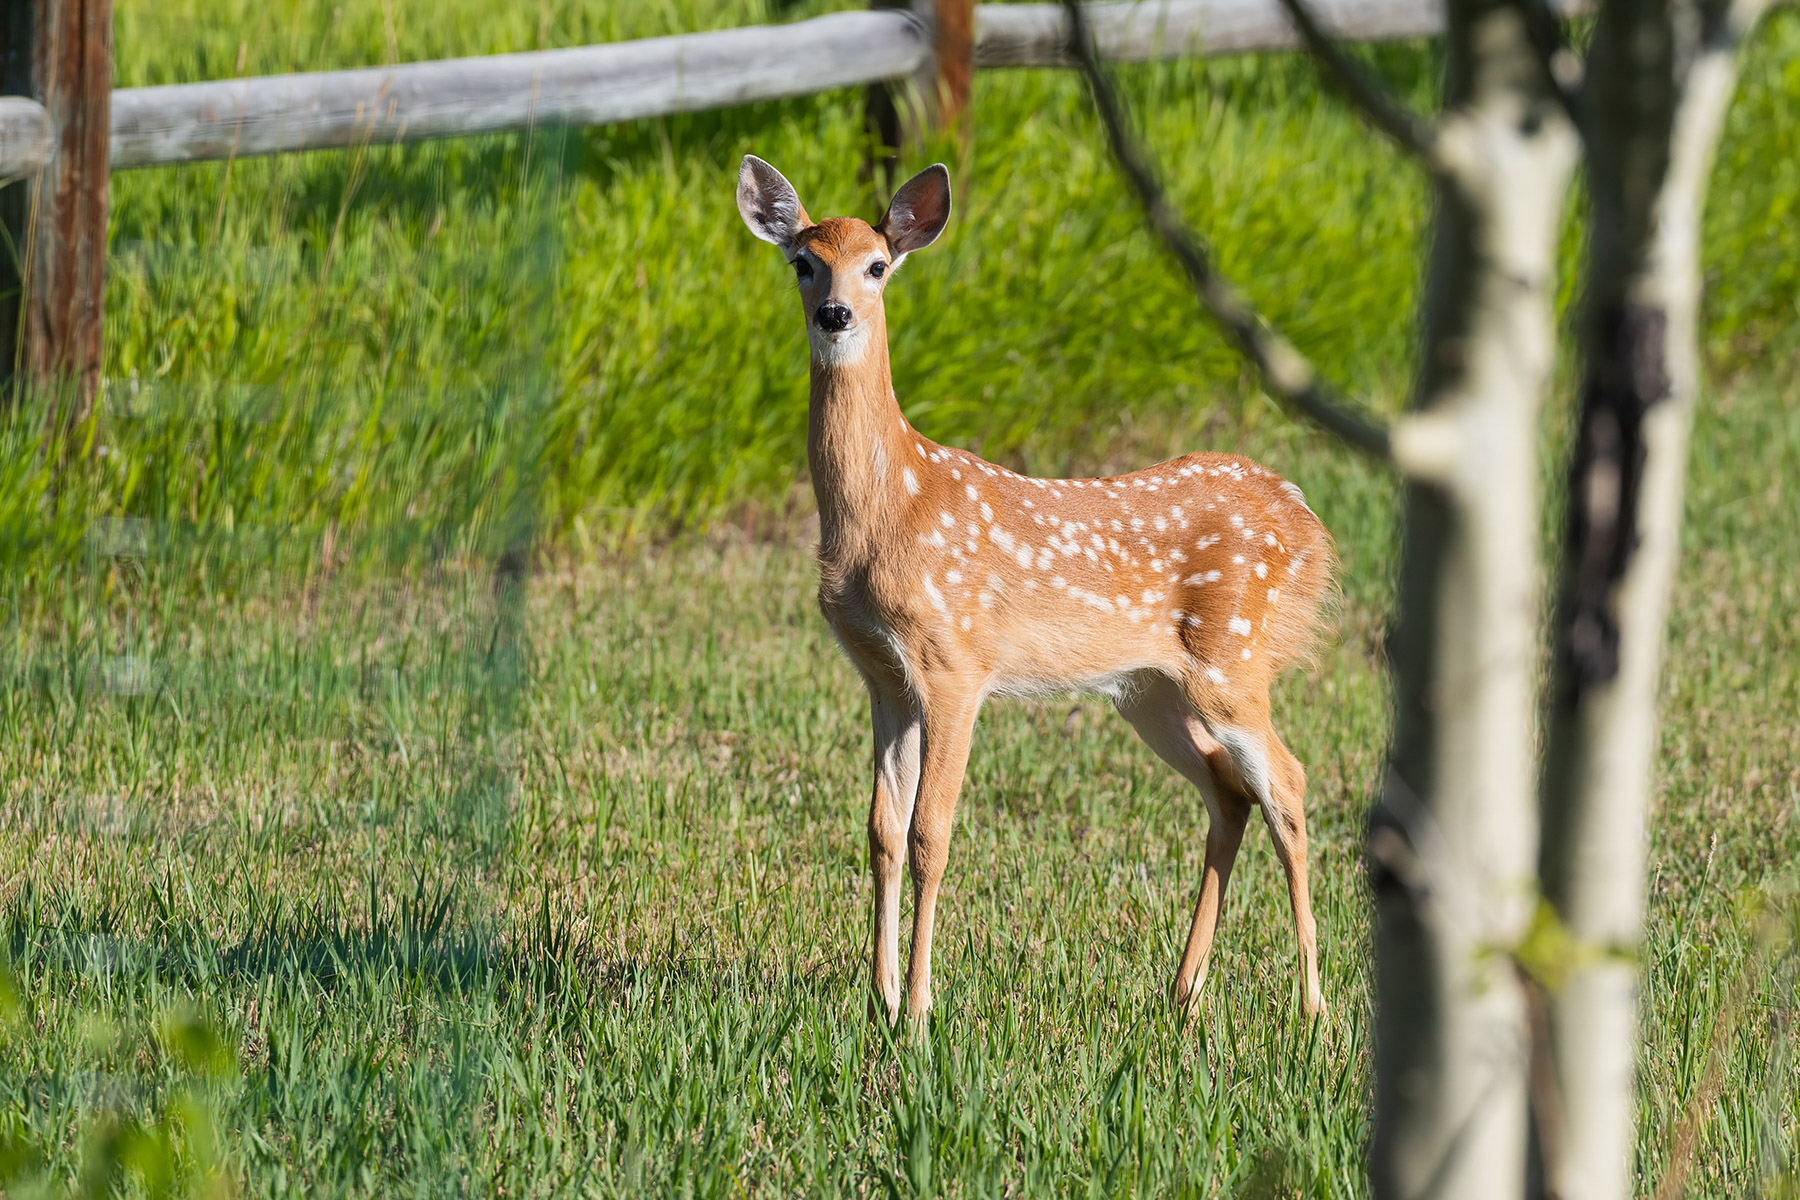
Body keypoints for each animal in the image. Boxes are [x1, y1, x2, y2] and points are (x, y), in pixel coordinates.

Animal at [736, 154, 1338, 1026]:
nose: (836, 314)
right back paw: (1182, 992)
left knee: (1288, 786)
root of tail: (1302, 516)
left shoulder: (955, 663)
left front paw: (919, 1012)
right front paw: (879, 999)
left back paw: (1312, 1006)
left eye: (877, 265)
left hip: (1234, 659)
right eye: (802, 262)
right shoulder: (882, 675)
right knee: (1231, 795)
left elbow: (931, 833)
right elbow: (881, 832)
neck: (888, 509)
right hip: (1150, 689)